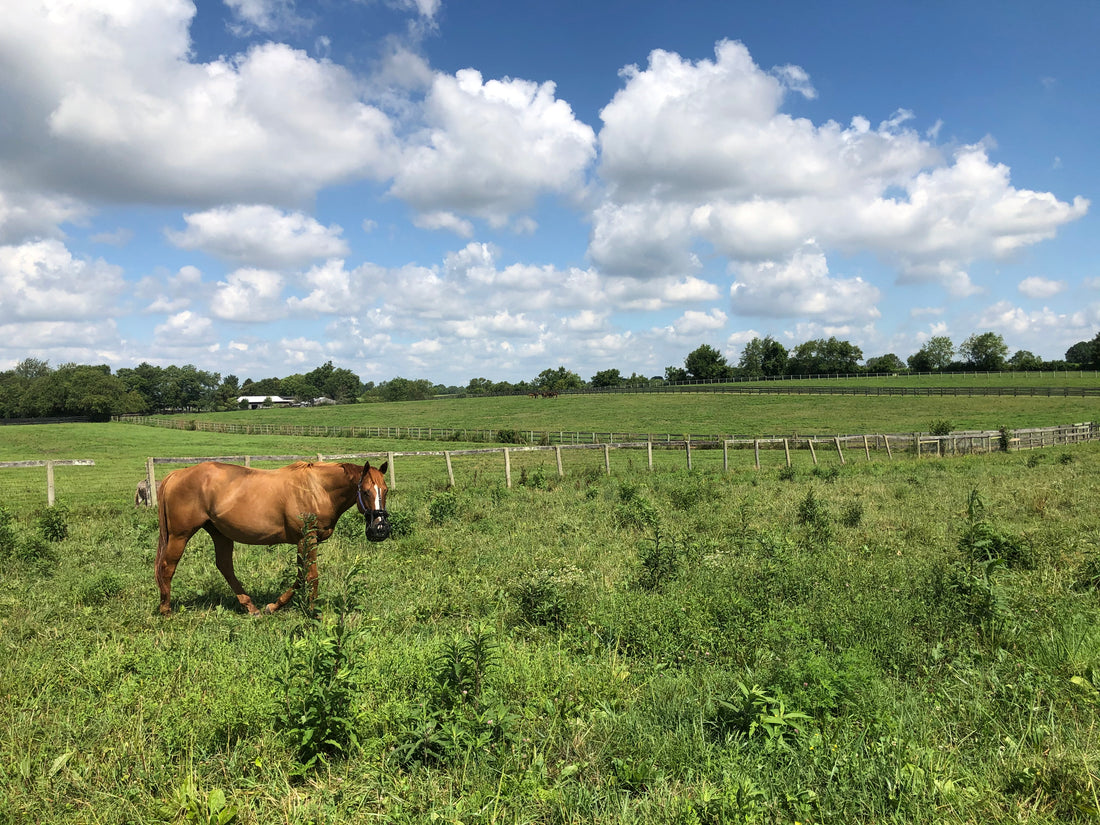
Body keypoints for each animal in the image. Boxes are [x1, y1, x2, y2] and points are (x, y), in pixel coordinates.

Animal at [155, 462, 391, 616]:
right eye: (366, 491)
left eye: (385, 490)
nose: (379, 529)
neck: (317, 489)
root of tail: (176, 474)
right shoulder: (307, 539)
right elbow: (311, 576)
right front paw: (313, 613)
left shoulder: (302, 542)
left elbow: (300, 576)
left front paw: (275, 606)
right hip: (180, 535)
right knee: (167, 567)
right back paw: (166, 610)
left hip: (220, 534)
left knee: (224, 566)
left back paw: (251, 607)